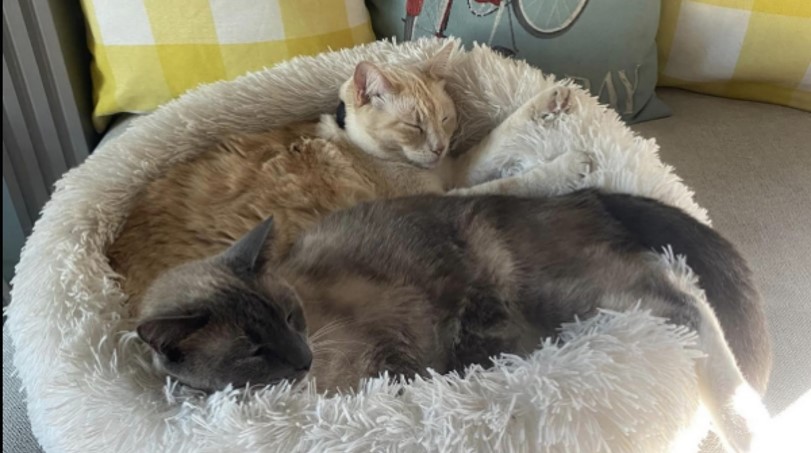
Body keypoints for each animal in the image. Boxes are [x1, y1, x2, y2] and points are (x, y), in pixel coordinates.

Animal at [137, 190, 771, 453]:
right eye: (253, 349)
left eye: (291, 317)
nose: (302, 359)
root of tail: (576, 192)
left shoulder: (391, 353)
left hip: (565, 295)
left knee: (682, 299)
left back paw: (751, 425)